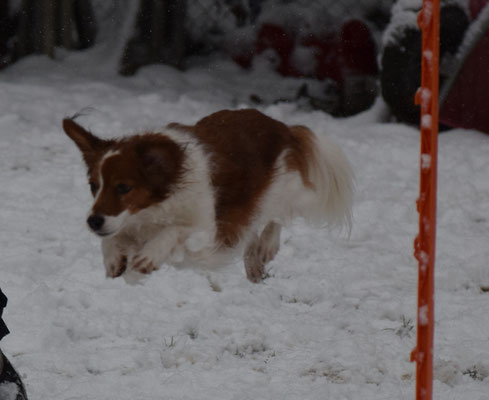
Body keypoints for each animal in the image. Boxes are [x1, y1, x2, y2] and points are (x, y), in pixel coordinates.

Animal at [63, 108, 352, 282]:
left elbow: (175, 231)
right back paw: (253, 262)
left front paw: (150, 254)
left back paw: (266, 246)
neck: (153, 211)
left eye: (123, 187)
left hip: (292, 190)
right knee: (255, 227)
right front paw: (113, 257)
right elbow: (112, 239)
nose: (93, 221)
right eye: (93, 185)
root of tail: (283, 127)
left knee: (279, 214)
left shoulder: (209, 235)